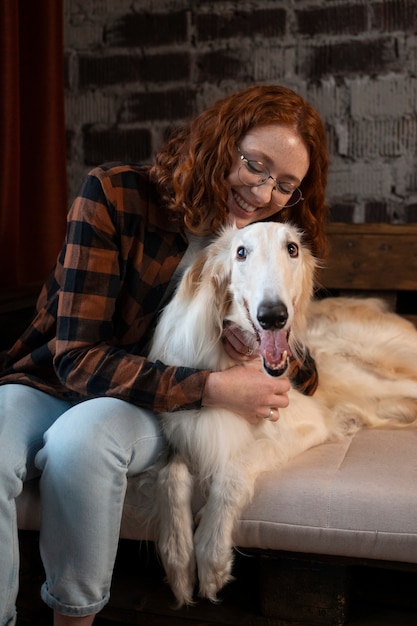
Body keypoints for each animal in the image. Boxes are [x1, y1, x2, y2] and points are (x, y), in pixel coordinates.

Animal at [141, 221, 416, 604]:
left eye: (292, 249)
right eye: (241, 252)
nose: (273, 316)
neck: (234, 360)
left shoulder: (306, 423)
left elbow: (234, 468)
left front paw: (211, 557)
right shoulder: (187, 429)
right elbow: (170, 475)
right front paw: (179, 560)